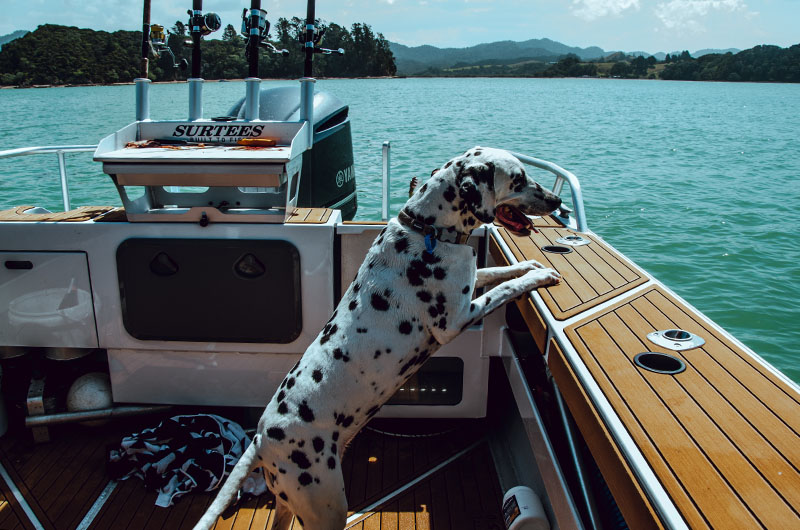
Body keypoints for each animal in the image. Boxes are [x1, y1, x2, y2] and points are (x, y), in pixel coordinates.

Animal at [195, 145, 564, 528]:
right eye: (518, 179)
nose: (558, 202)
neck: (427, 230)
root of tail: (261, 439)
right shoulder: (457, 318)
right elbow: (505, 287)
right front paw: (538, 277)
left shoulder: (470, 282)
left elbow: (499, 271)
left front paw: (531, 266)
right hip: (325, 505)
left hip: (287, 502)